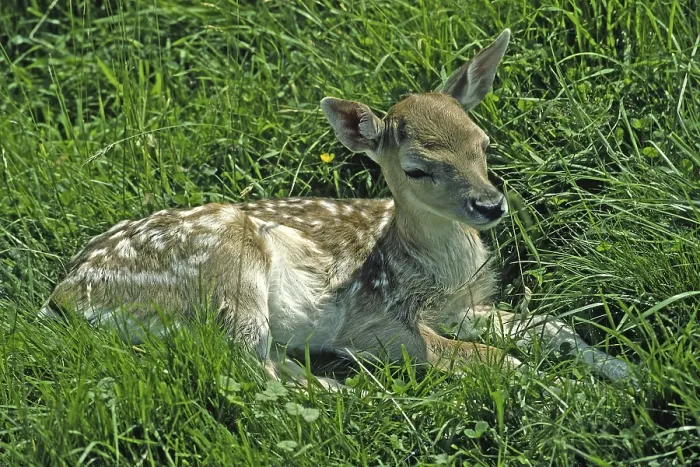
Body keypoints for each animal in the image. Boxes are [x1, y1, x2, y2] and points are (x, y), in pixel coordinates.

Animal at [40, 29, 634, 391]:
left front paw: (626, 372)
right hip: (225, 270)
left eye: (482, 142)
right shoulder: (372, 321)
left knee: (273, 366)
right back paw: (357, 392)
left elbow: (551, 328)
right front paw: (578, 394)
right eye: (417, 168)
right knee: (257, 373)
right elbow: (487, 358)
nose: (489, 205)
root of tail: (64, 294)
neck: (436, 267)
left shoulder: (456, 305)